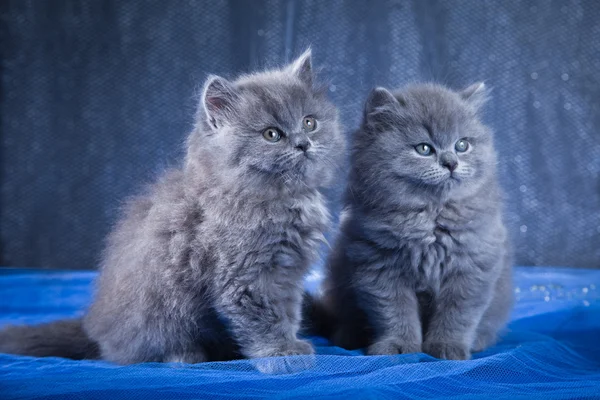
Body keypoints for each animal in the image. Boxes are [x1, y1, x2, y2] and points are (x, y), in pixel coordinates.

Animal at [0, 49, 344, 366]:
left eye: (309, 123)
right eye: (271, 134)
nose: (303, 143)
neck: (278, 198)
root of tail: (94, 329)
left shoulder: (289, 276)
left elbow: (288, 312)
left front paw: (291, 341)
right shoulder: (246, 275)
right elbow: (264, 315)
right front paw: (281, 353)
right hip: (163, 311)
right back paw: (187, 356)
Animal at [312, 81, 512, 360]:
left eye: (462, 145)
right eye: (424, 149)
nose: (451, 163)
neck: (431, 217)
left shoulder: (471, 268)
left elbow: (457, 316)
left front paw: (448, 346)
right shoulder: (379, 267)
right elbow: (395, 313)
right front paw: (398, 345)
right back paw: (348, 337)